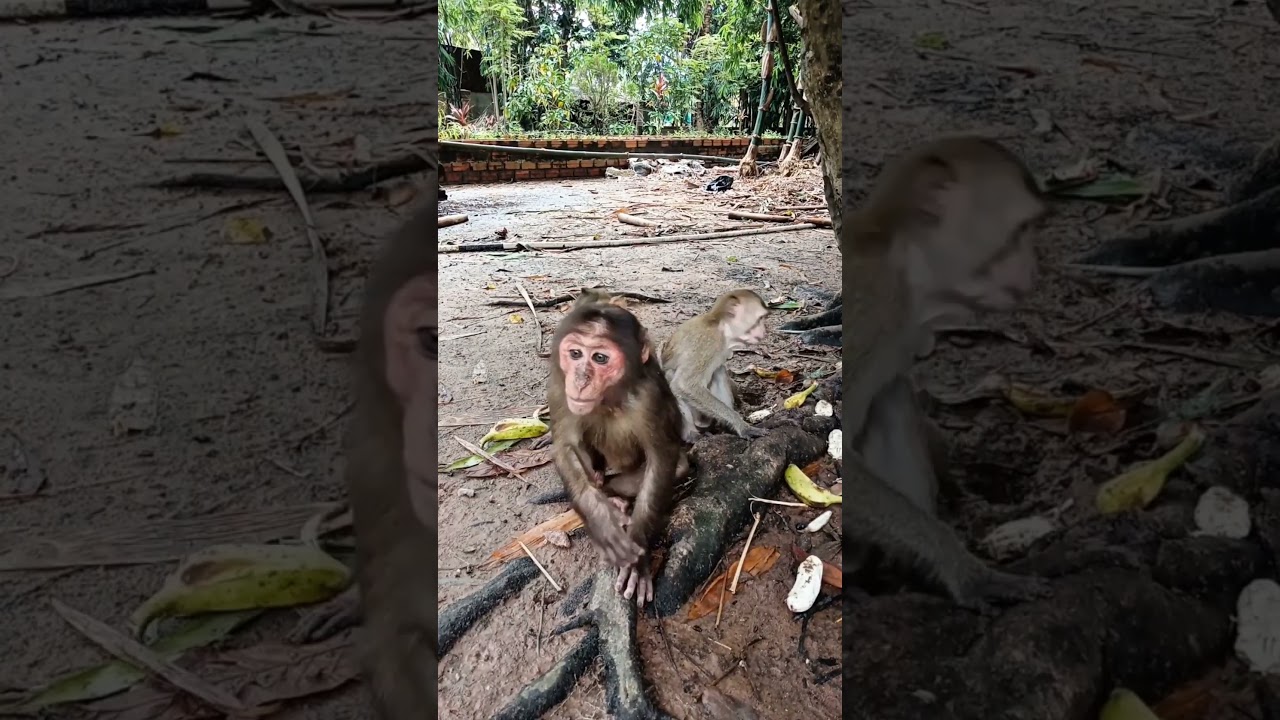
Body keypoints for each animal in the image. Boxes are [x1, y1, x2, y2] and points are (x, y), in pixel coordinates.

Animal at [548, 302, 687, 608]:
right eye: (575, 354)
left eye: (600, 358)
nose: (580, 380)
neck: (610, 399)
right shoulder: (559, 388)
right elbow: (564, 446)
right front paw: (601, 520)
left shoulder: (650, 397)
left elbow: (662, 458)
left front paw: (638, 559)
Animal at [658, 289, 770, 443]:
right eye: (760, 319)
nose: (764, 331)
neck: (721, 328)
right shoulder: (707, 343)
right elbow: (684, 384)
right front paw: (742, 426)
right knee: (671, 377)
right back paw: (692, 435)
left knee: (718, 371)